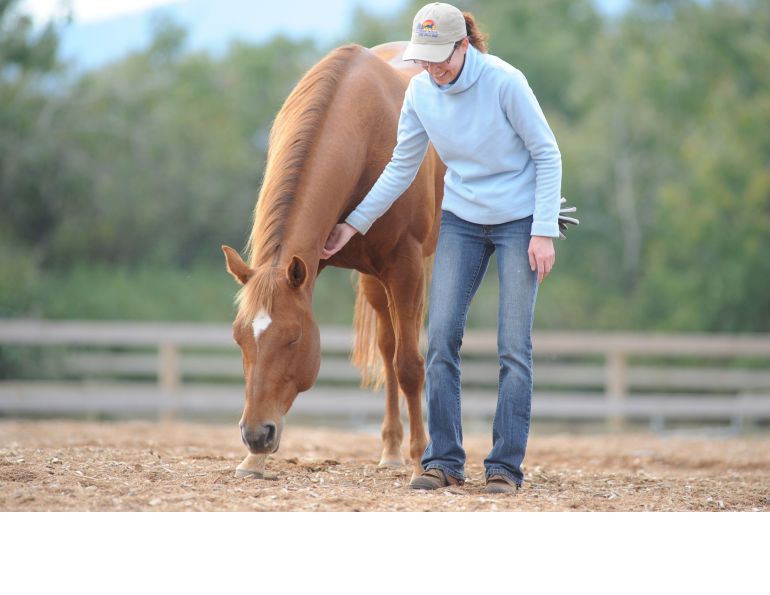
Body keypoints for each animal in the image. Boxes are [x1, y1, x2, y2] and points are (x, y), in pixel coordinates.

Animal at [221, 42, 445, 481]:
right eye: (239, 338)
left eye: (293, 339)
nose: (256, 434)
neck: (364, 128)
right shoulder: (314, 262)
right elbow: (394, 357)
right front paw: (252, 462)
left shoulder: (407, 266)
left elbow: (412, 366)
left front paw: (420, 462)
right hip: (375, 281)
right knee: (387, 348)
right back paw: (390, 449)